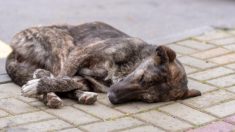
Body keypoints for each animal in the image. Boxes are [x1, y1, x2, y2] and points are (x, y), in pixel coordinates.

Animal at [5, 21, 200, 108]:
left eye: (146, 99)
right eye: (142, 77)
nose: (112, 97)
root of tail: (13, 49)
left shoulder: (86, 77)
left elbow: (68, 81)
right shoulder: (79, 54)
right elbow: (63, 78)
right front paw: (41, 88)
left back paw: (79, 95)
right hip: (61, 43)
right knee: (50, 72)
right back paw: (49, 94)